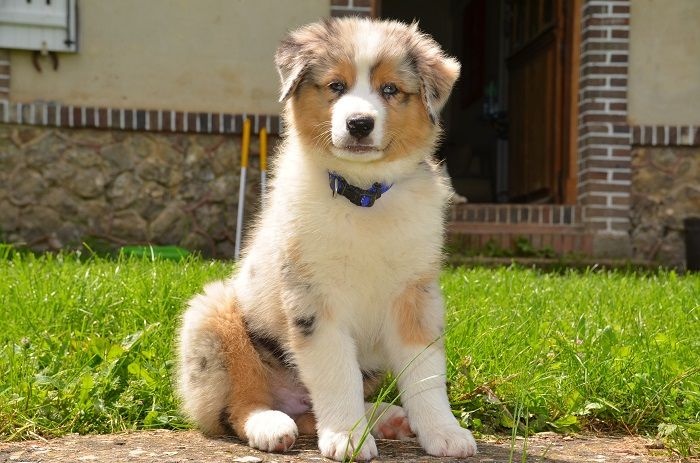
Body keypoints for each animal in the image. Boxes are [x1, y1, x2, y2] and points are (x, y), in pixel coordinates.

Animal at [176, 17, 477, 460]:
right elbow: (336, 373)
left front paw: (443, 431)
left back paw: (387, 417)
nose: (359, 123)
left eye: (390, 90)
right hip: (216, 315)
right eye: (336, 85)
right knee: (239, 403)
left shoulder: (416, 295)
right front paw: (349, 437)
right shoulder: (314, 298)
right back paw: (270, 424)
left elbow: (425, 372)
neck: (363, 196)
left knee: (314, 407)